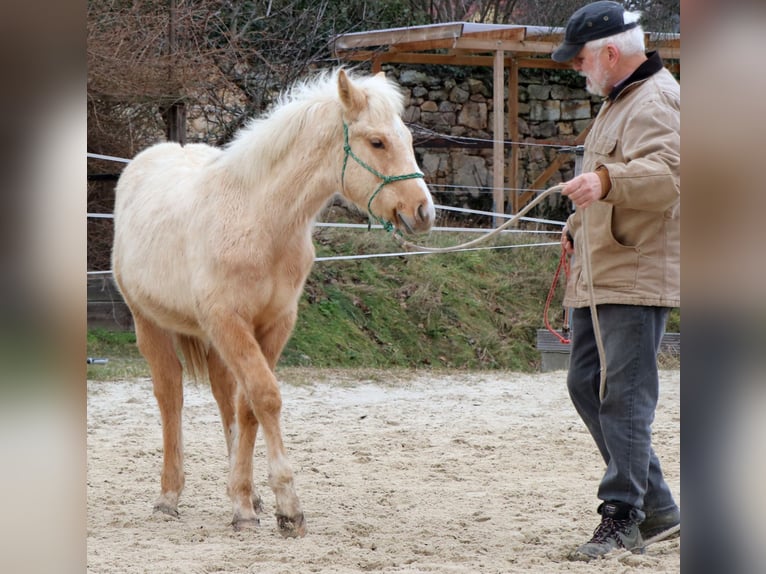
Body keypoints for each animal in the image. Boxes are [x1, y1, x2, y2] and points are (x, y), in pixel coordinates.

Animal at [111, 69, 435, 537]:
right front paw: (285, 506)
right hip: (149, 322)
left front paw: (249, 501)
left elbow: (248, 406)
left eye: (406, 137)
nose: (423, 211)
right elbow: (265, 397)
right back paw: (169, 496)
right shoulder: (229, 320)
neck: (260, 220)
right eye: (377, 142)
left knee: (224, 394)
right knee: (170, 395)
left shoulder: (274, 323)